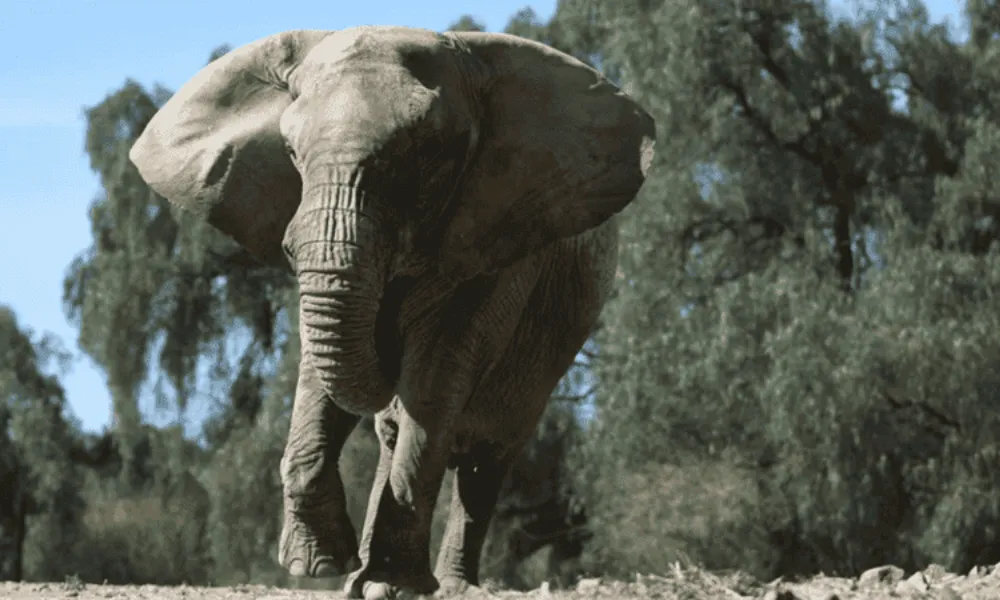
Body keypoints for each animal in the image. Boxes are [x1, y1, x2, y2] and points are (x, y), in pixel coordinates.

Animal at [128, 25, 655, 599]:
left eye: (426, 152)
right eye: (289, 150)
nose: (388, 334)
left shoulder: (497, 242)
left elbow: (433, 377)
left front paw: (392, 585)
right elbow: (322, 369)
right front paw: (319, 565)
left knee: (487, 455)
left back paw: (448, 584)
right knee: (401, 432)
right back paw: (358, 576)